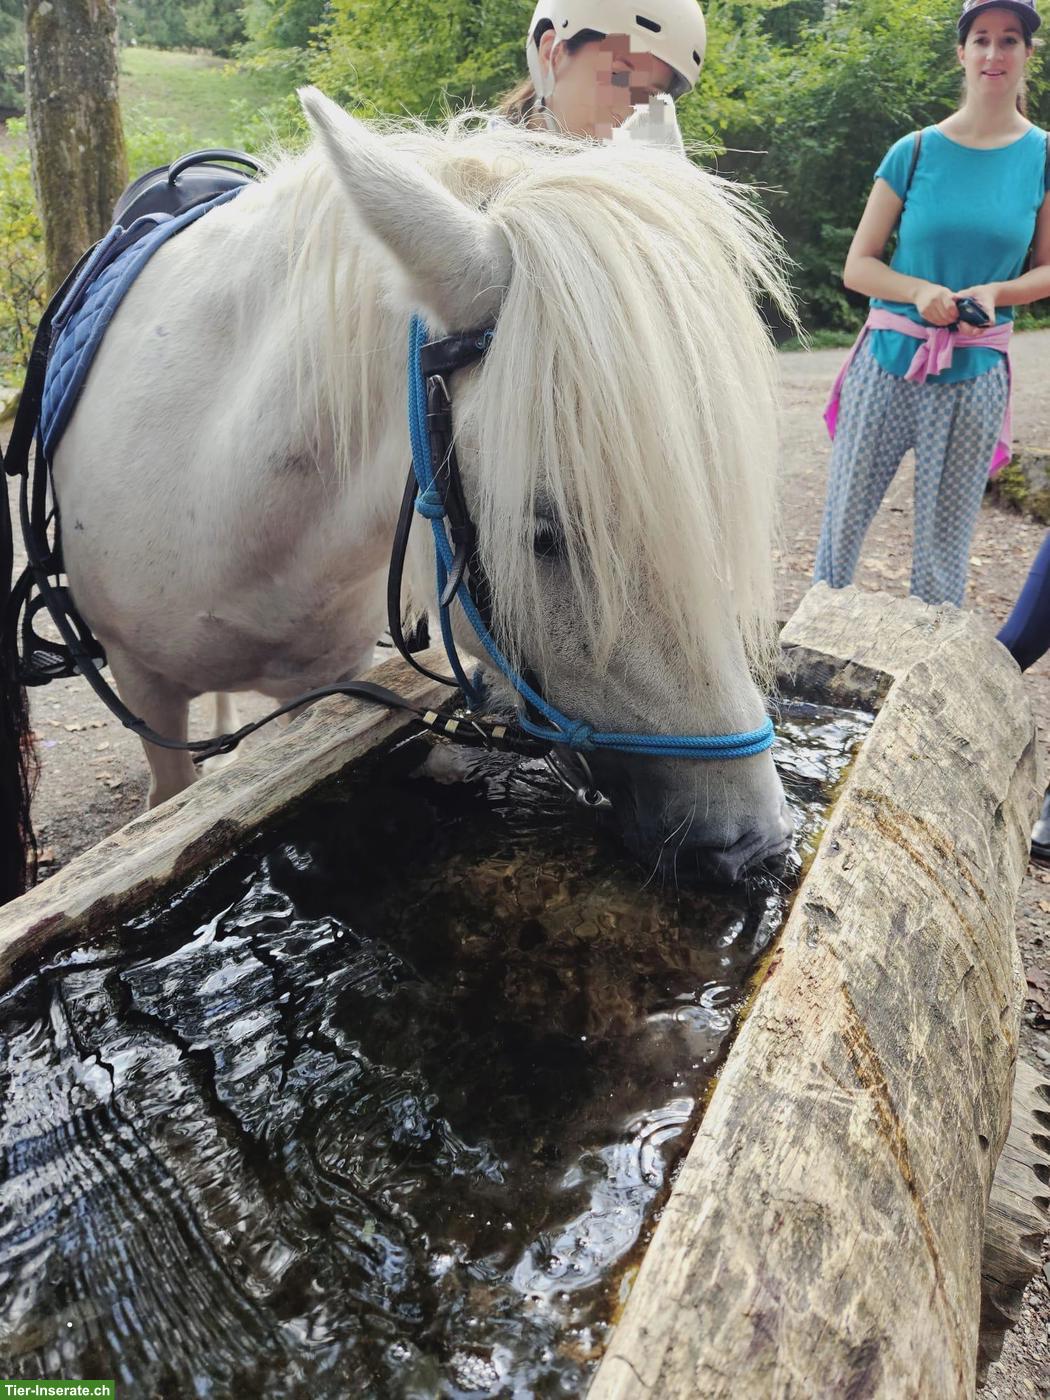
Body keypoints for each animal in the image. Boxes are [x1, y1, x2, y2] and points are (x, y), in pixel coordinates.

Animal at [3, 87, 796, 895]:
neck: (221, 500)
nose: (751, 848)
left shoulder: (321, 688)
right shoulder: (144, 687)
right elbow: (172, 792)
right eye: (542, 536)